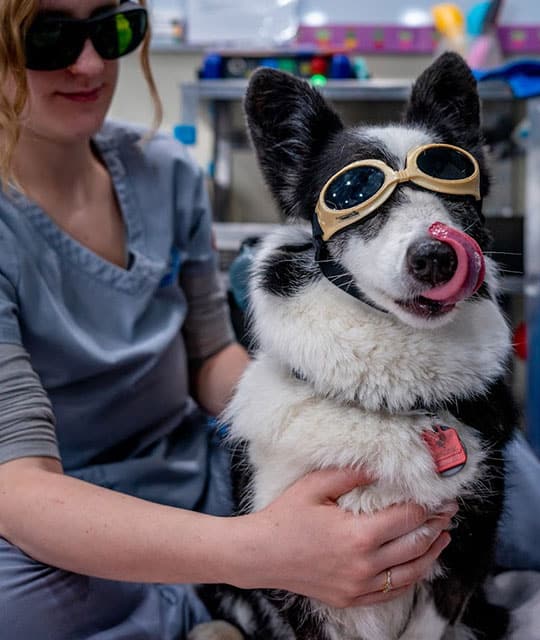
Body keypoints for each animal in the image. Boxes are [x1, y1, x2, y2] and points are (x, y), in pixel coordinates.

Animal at [197, 52, 518, 640]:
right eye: (352, 191)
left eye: (453, 175)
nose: (436, 257)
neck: (389, 401)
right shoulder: (295, 572)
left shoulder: (467, 545)